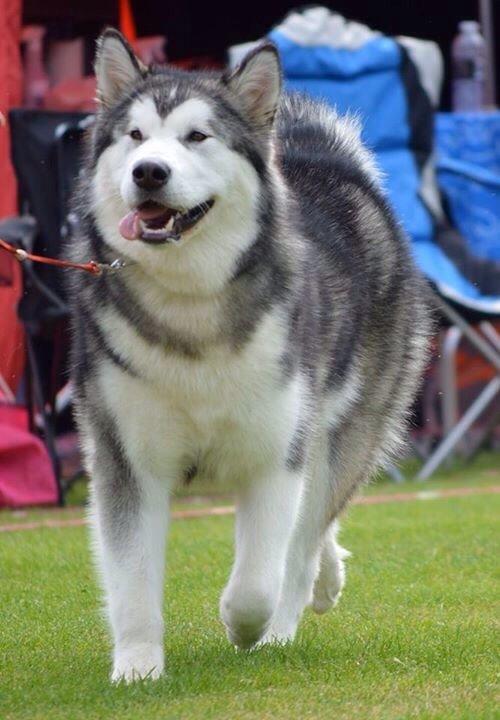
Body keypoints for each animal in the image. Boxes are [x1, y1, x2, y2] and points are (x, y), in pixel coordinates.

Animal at [67, 28, 430, 680]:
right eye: (134, 136)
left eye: (197, 136)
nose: (148, 171)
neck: (190, 306)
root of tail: (326, 161)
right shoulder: (126, 457)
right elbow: (132, 580)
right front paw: (137, 668)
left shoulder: (274, 454)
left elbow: (261, 579)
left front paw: (244, 627)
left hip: (340, 432)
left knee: (307, 536)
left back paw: (284, 628)